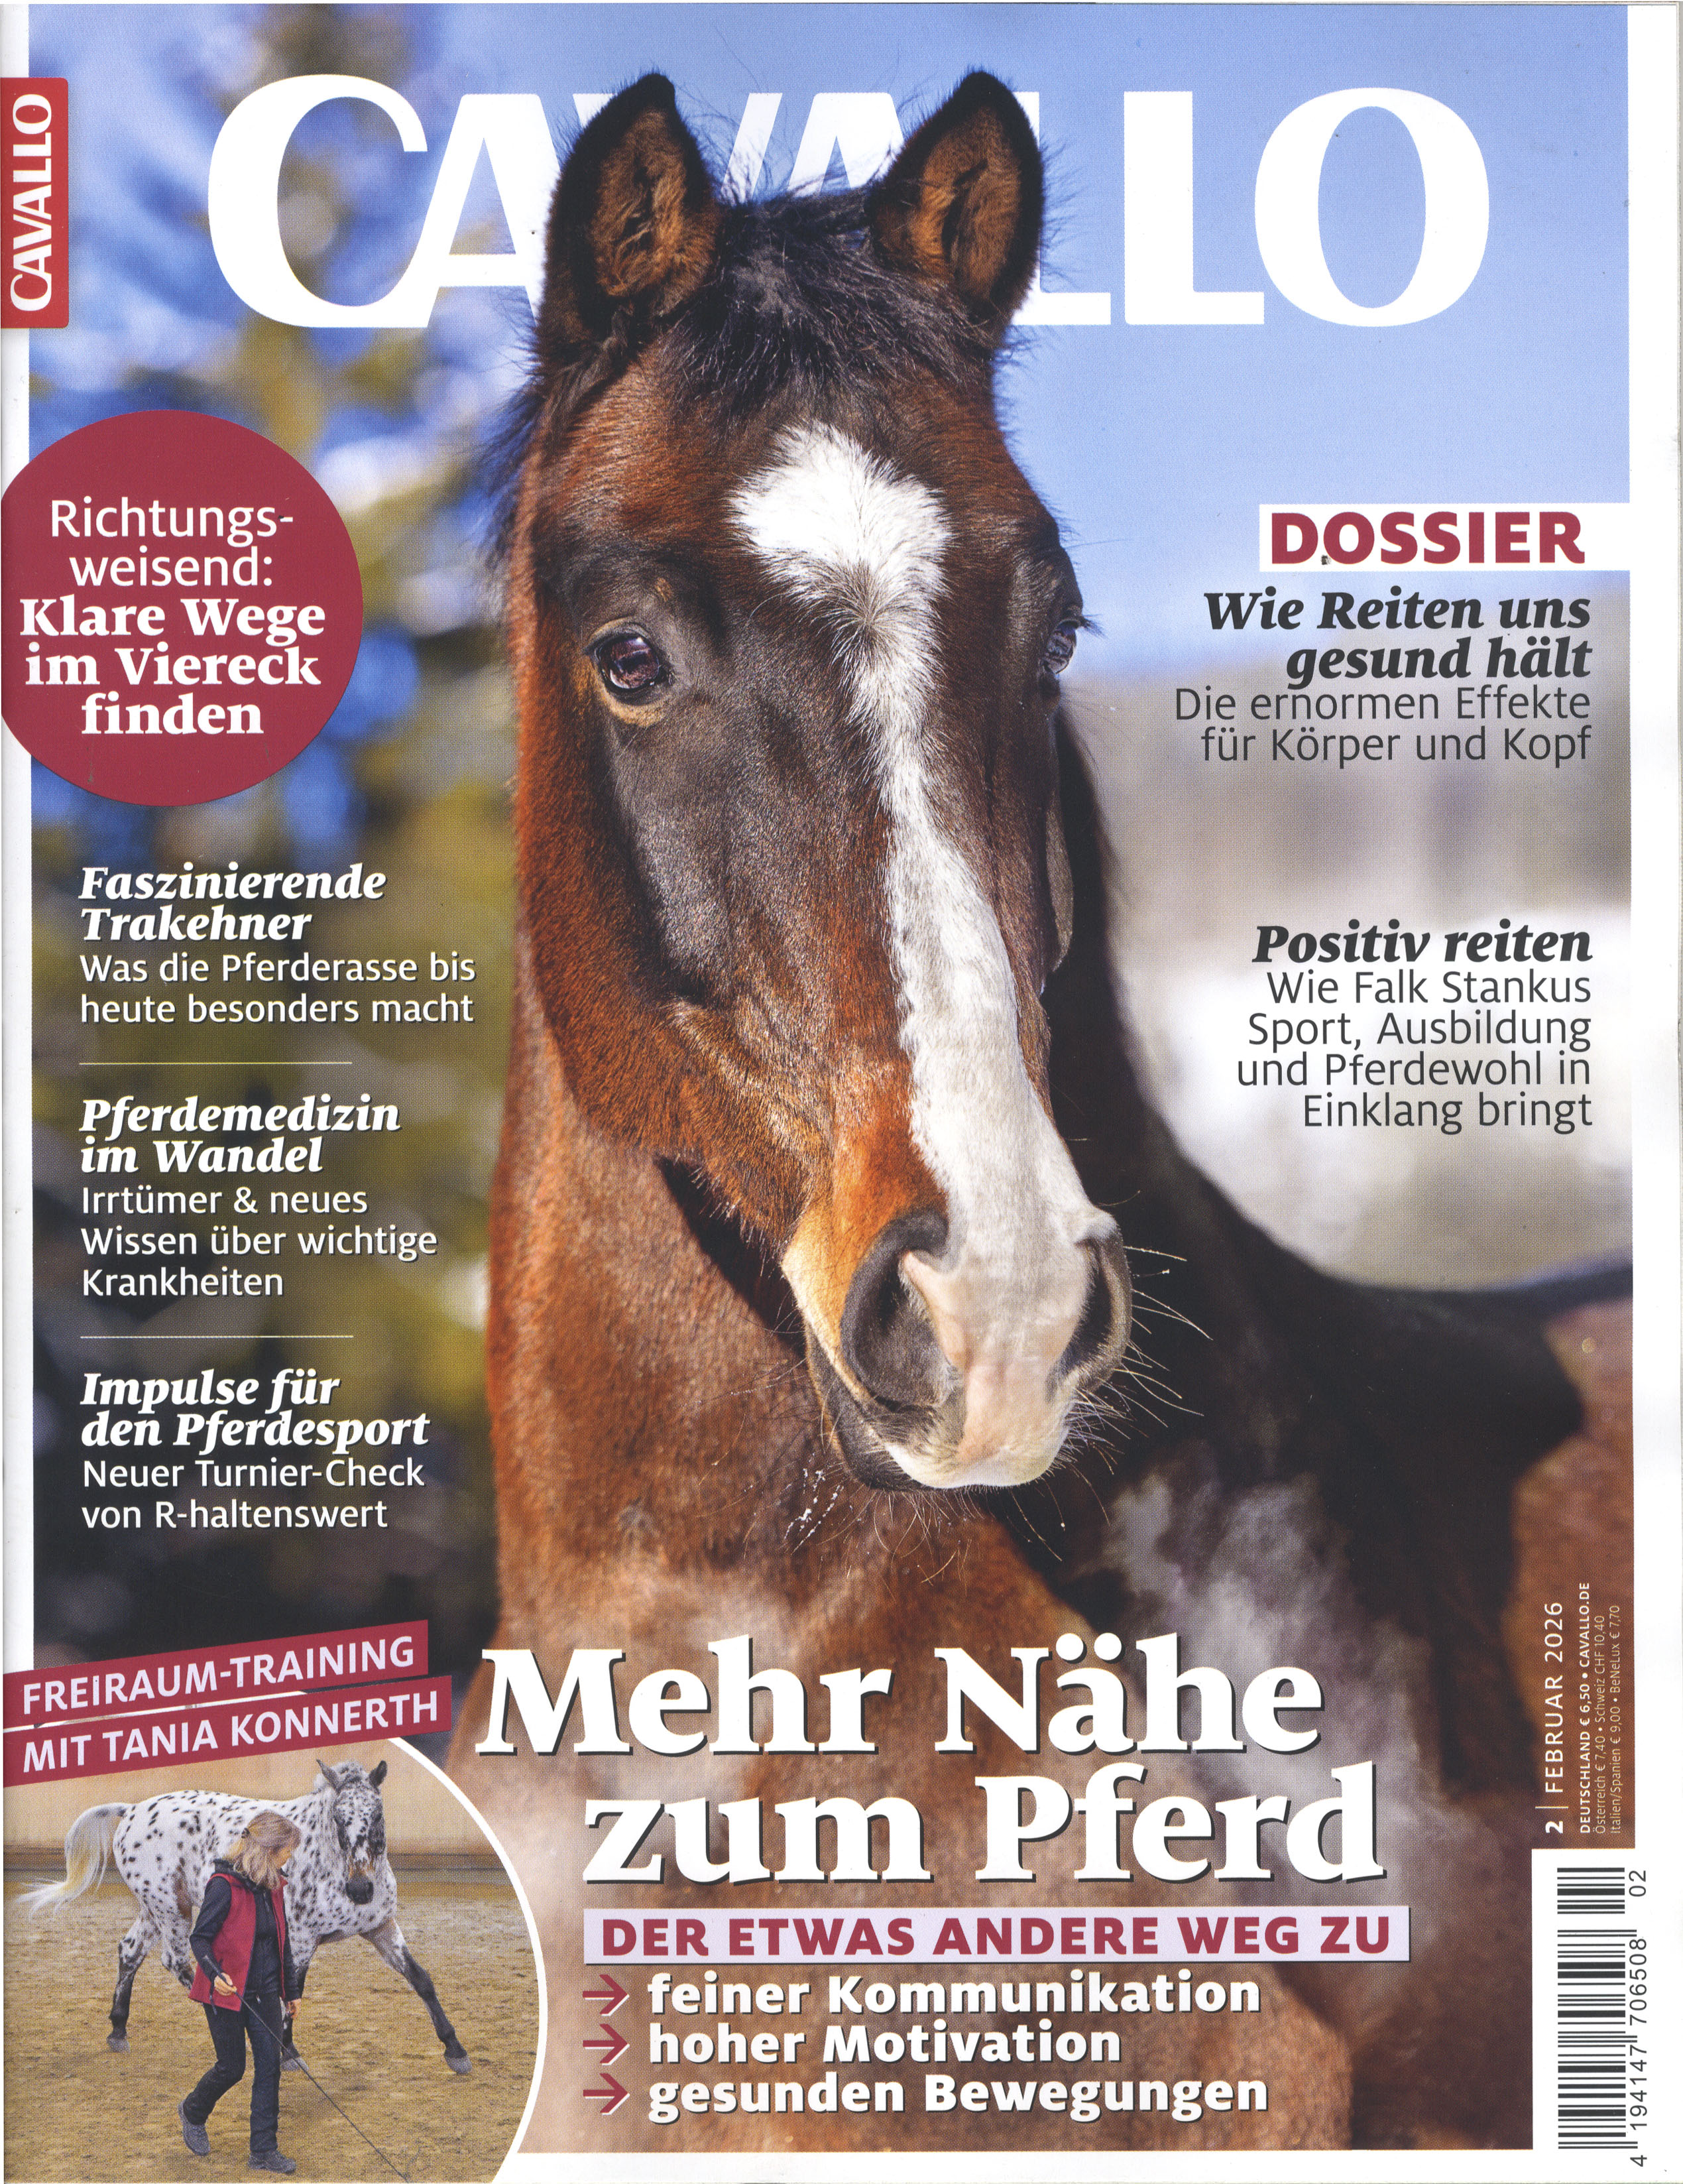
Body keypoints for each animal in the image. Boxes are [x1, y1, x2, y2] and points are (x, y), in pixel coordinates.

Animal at [24, 1758, 471, 2074]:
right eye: (339, 1818)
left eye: (376, 1815)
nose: (360, 1890)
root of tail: (132, 1810)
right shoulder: (301, 1939)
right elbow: (292, 1991)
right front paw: (289, 2054)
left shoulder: (382, 1929)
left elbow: (422, 1981)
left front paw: (455, 2050)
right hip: (169, 1908)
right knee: (179, 1961)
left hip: (159, 1906)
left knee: (131, 1951)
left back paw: (118, 2030)